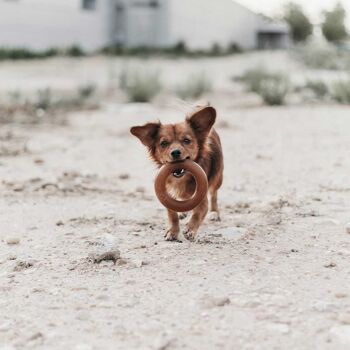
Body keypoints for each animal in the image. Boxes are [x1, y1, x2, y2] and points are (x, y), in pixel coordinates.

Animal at [130, 106, 223, 241]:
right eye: (164, 143)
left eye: (186, 140)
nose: (175, 152)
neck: (181, 179)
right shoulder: (167, 194)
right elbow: (172, 214)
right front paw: (173, 231)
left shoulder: (202, 200)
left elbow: (198, 213)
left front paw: (190, 229)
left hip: (218, 177)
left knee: (214, 193)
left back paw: (214, 213)